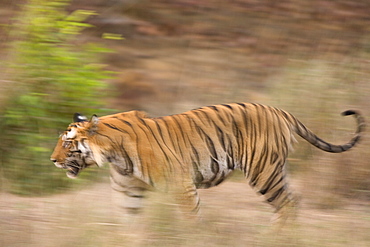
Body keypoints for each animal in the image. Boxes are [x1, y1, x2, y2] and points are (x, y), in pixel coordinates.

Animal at [49, 103, 364, 225]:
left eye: (67, 143)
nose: (52, 160)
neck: (115, 156)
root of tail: (280, 110)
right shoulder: (129, 192)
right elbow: (129, 224)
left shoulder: (182, 187)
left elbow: (192, 221)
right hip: (275, 171)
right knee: (293, 203)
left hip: (263, 172)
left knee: (287, 205)